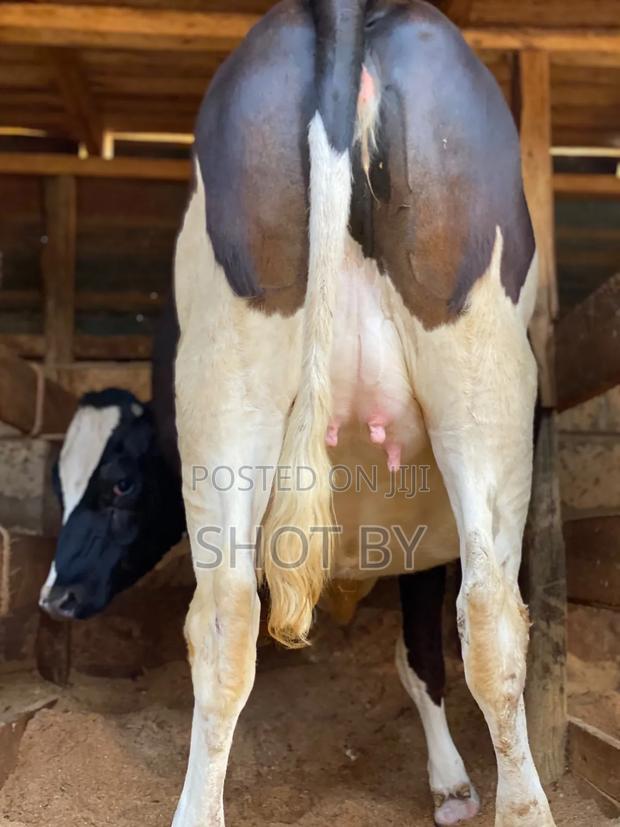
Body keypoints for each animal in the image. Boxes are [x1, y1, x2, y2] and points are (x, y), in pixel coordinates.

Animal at [172, 1, 555, 826]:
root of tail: (345, 10)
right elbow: (424, 651)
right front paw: (451, 782)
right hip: (484, 374)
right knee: (491, 616)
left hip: (224, 381)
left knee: (223, 618)